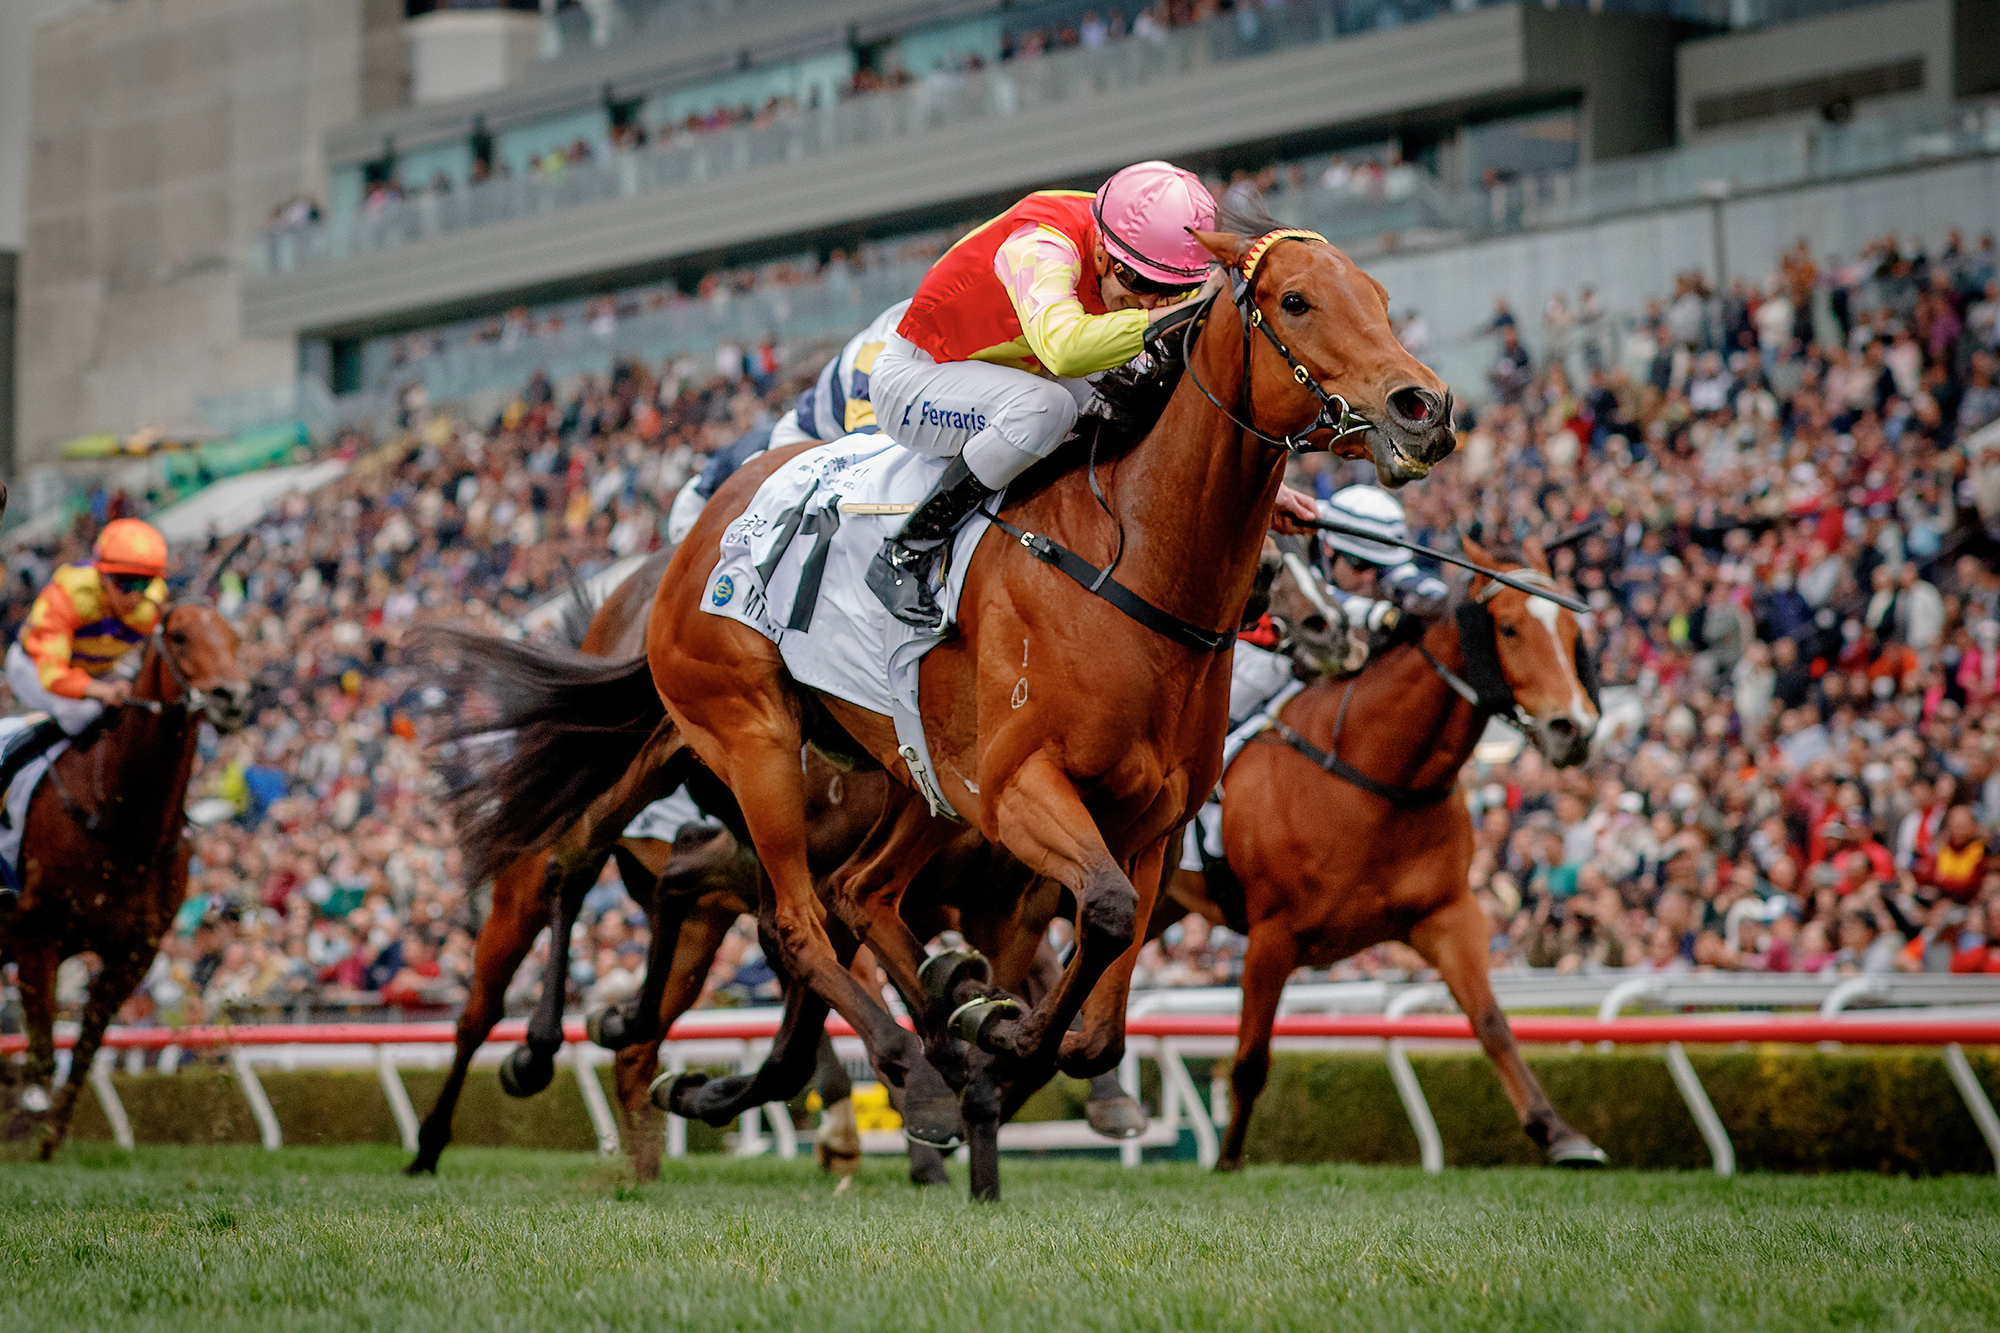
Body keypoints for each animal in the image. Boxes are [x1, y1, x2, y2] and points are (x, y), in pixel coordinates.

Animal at [0, 603, 251, 1157]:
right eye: (179, 636)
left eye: (235, 640)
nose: (233, 697)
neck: (123, 819)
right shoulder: (37, 936)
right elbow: (43, 1050)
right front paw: (26, 1132)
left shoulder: (136, 953)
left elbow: (85, 1050)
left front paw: (48, 1138)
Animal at [628, 221, 1456, 1160]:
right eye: (1296, 301)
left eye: (1381, 299)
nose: (1424, 407)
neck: (1131, 565)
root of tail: (700, 521)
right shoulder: (1024, 789)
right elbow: (1102, 913)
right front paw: (1005, 1034)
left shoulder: (1152, 822)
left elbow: (1102, 1025)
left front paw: (992, 1024)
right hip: (756, 738)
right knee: (798, 922)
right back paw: (902, 1067)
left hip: (926, 767)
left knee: (862, 890)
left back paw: (940, 1011)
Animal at [1162, 539, 1608, 1169]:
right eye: (1510, 627)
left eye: (1571, 632)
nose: (1575, 728)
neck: (1377, 775)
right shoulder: (1273, 934)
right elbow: (1250, 1058)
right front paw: (1227, 1160)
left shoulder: (1447, 914)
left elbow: (1492, 1022)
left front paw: (1559, 1132)